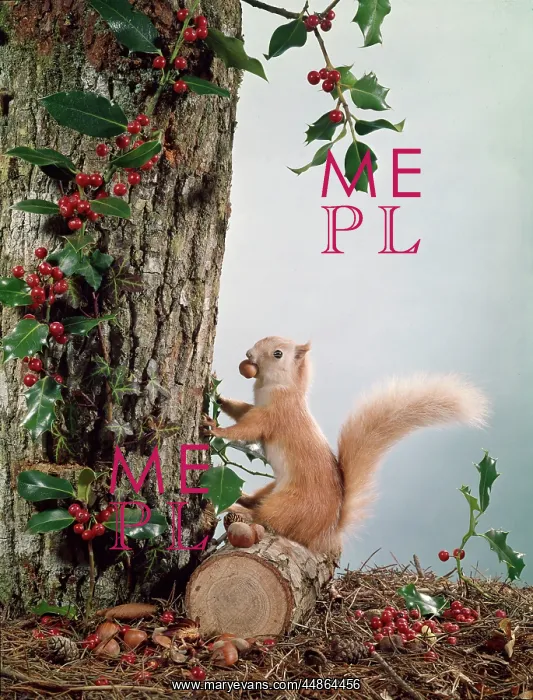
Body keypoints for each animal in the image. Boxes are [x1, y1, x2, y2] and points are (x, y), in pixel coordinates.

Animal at [201, 336, 488, 554]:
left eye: (278, 353)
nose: (249, 354)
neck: (281, 387)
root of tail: (324, 531)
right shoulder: (255, 407)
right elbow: (240, 409)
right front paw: (219, 397)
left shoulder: (273, 416)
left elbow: (246, 428)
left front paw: (215, 428)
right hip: (271, 488)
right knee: (258, 502)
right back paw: (242, 498)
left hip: (288, 504)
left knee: (268, 519)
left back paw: (240, 510)